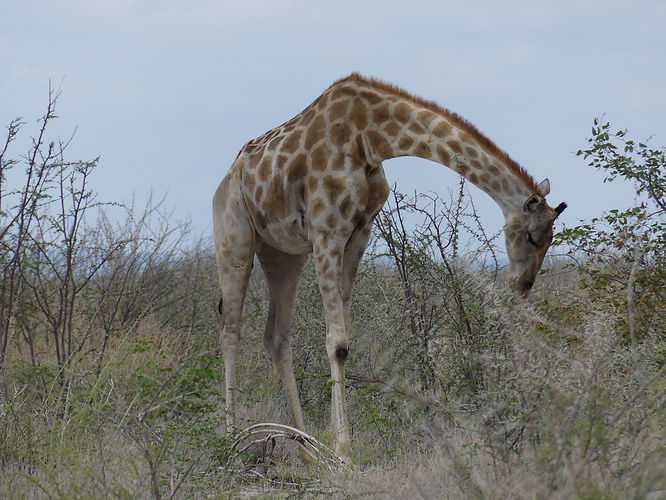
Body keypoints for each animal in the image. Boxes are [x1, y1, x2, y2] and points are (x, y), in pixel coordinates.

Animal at [213, 72, 564, 462]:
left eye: (551, 239)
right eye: (532, 237)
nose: (523, 286)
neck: (370, 138)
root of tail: (225, 181)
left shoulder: (358, 234)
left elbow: (343, 340)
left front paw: (334, 444)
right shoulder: (326, 231)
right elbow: (336, 342)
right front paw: (344, 449)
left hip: (283, 253)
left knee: (276, 338)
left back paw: (304, 446)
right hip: (234, 240)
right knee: (230, 332)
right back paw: (230, 442)